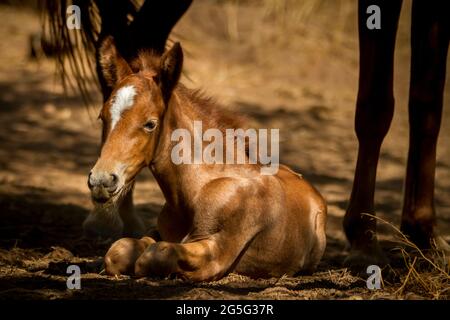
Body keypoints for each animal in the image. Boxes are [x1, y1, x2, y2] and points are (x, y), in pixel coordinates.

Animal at [88, 37, 326, 282]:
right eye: (102, 117)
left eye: (150, 124)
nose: (101, 180)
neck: (197, 188)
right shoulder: (158, 231)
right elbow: (118, 250)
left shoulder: (216, 251)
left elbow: (156, 254)